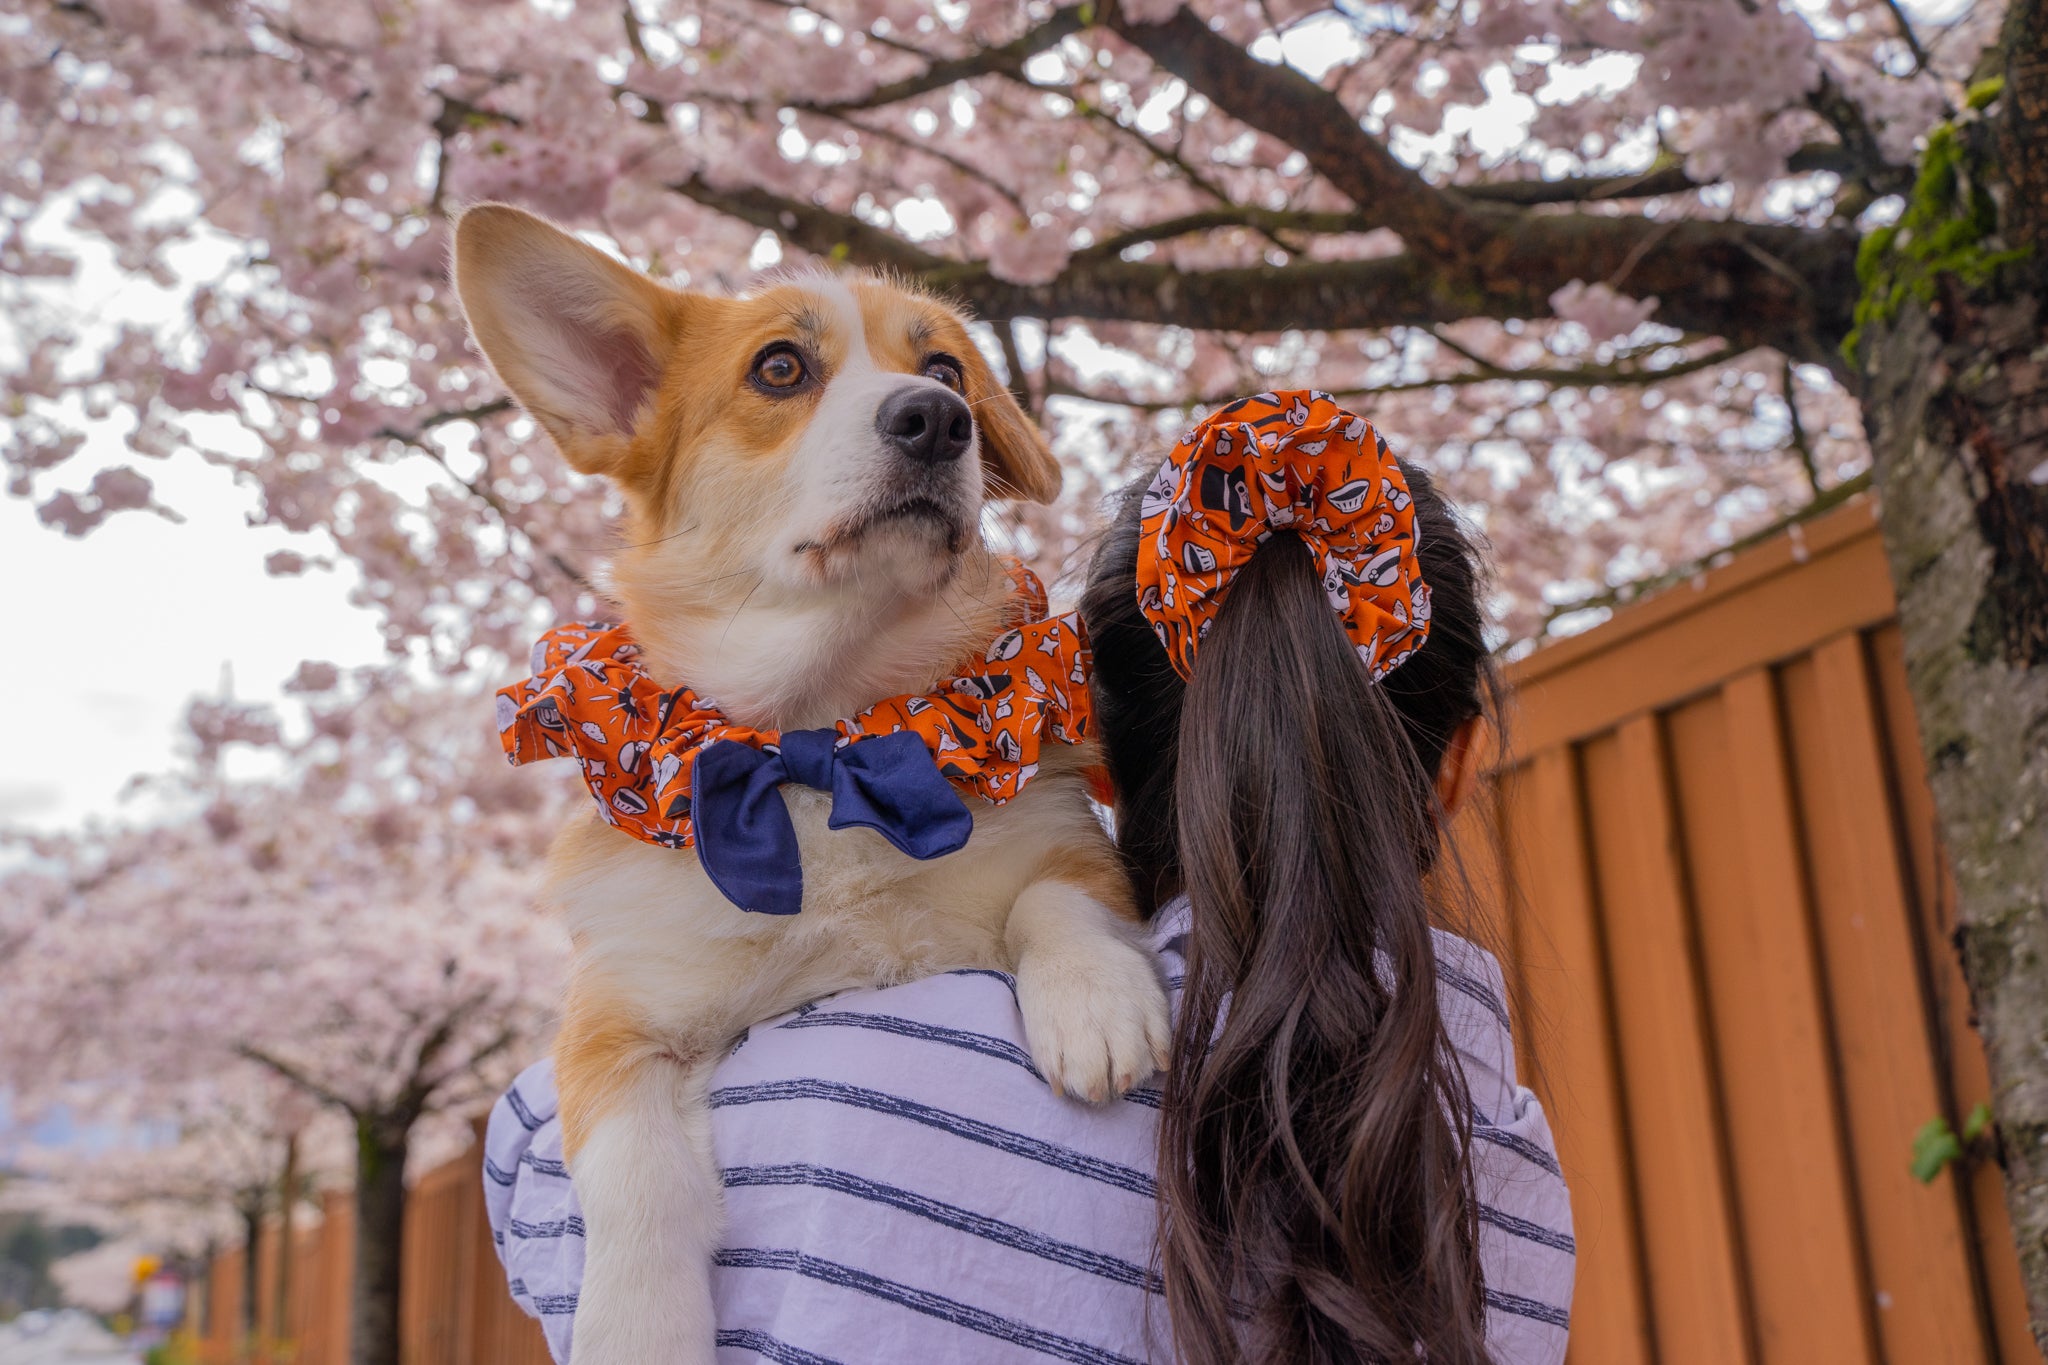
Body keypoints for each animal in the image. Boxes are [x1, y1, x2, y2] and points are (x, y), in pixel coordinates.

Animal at [456, 205, 1179, 1365]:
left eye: (946, 368)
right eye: (780, 367)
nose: (936, 420)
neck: (825, 735)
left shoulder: (1067, 842)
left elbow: (1056, 899)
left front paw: (1094, 1003)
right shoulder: (613, 1021)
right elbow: (638, 1174)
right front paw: (638, 1325)